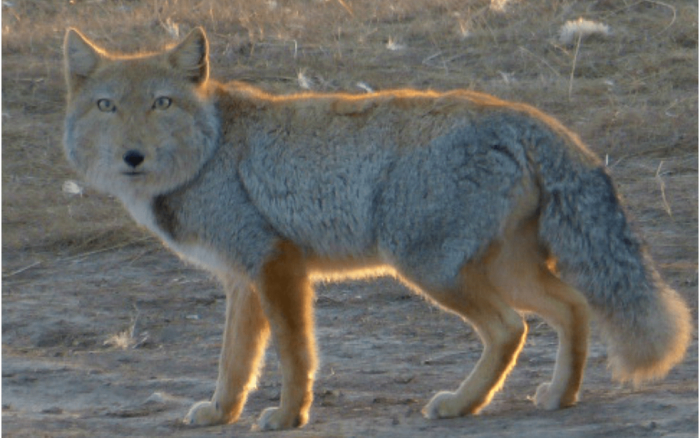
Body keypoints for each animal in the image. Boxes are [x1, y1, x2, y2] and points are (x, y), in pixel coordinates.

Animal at [63, 25, 692, 430]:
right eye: (106, 107)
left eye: (162, 103)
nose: (133, 156)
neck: (212, 148)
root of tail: (519, 114)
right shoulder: (242, 280)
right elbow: (234, 362)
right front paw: (220, 413)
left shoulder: (275, 264)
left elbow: (293, 353)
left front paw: (289, 416)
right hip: (502, 269)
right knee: (573, 307)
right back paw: (560, 397)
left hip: (429, 268)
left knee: (510, 328)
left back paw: (462, 405)